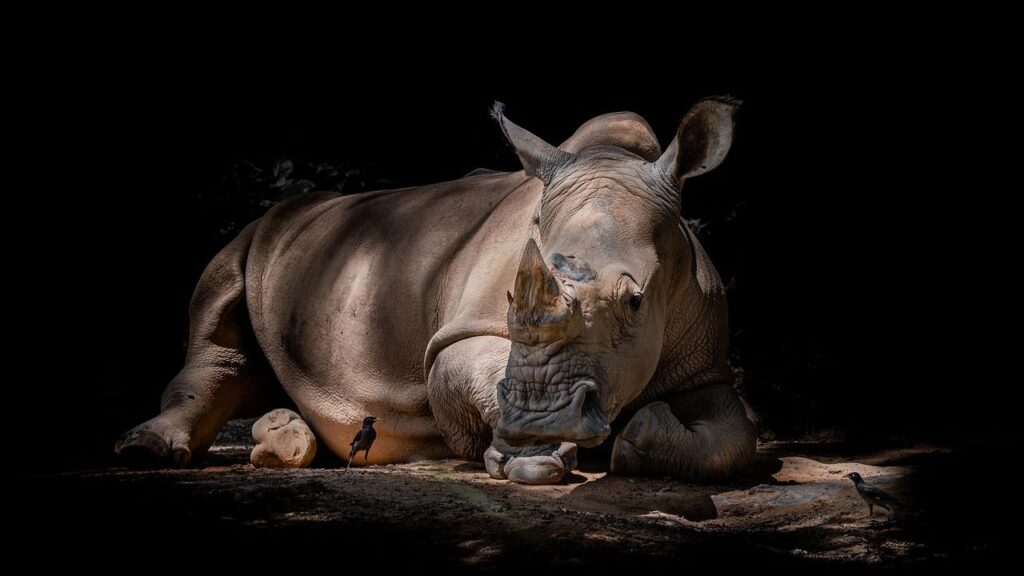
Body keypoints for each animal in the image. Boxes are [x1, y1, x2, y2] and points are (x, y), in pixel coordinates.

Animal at [116, 98, 756, 484]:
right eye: (510, 300)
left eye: (635, 302)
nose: (544, 421)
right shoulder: (464, 332)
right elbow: (470, 369)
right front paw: (529, 459)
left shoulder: (706, 364)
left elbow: (736, 435)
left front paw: (635, 441)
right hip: (257, 234)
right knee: (216, 329)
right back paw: (146, 451)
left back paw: (287, 442)